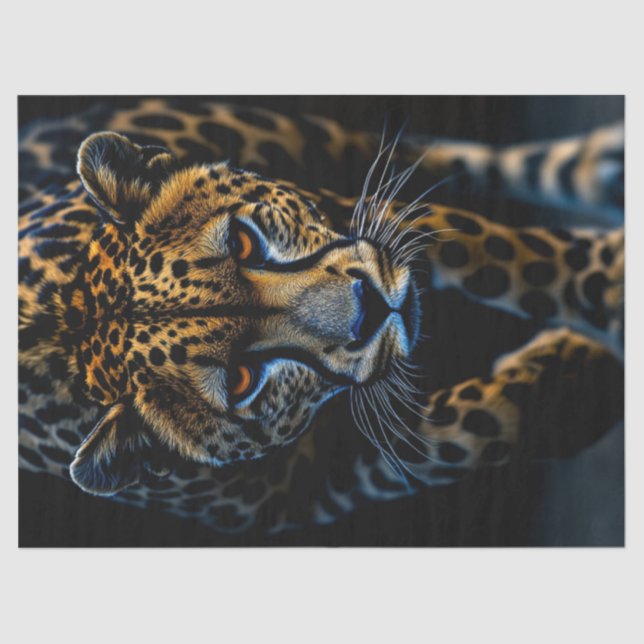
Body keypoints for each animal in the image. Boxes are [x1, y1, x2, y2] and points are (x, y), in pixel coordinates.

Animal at [18, 97, 624, 539]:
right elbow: (454, 438)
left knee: (439, 155)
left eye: (243, 242)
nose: (372, 307)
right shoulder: (305, 495)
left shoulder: (347, 209)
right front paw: (575, 378)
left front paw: (606, 280)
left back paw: (601, 165)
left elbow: (494, 252)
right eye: (239, 381)